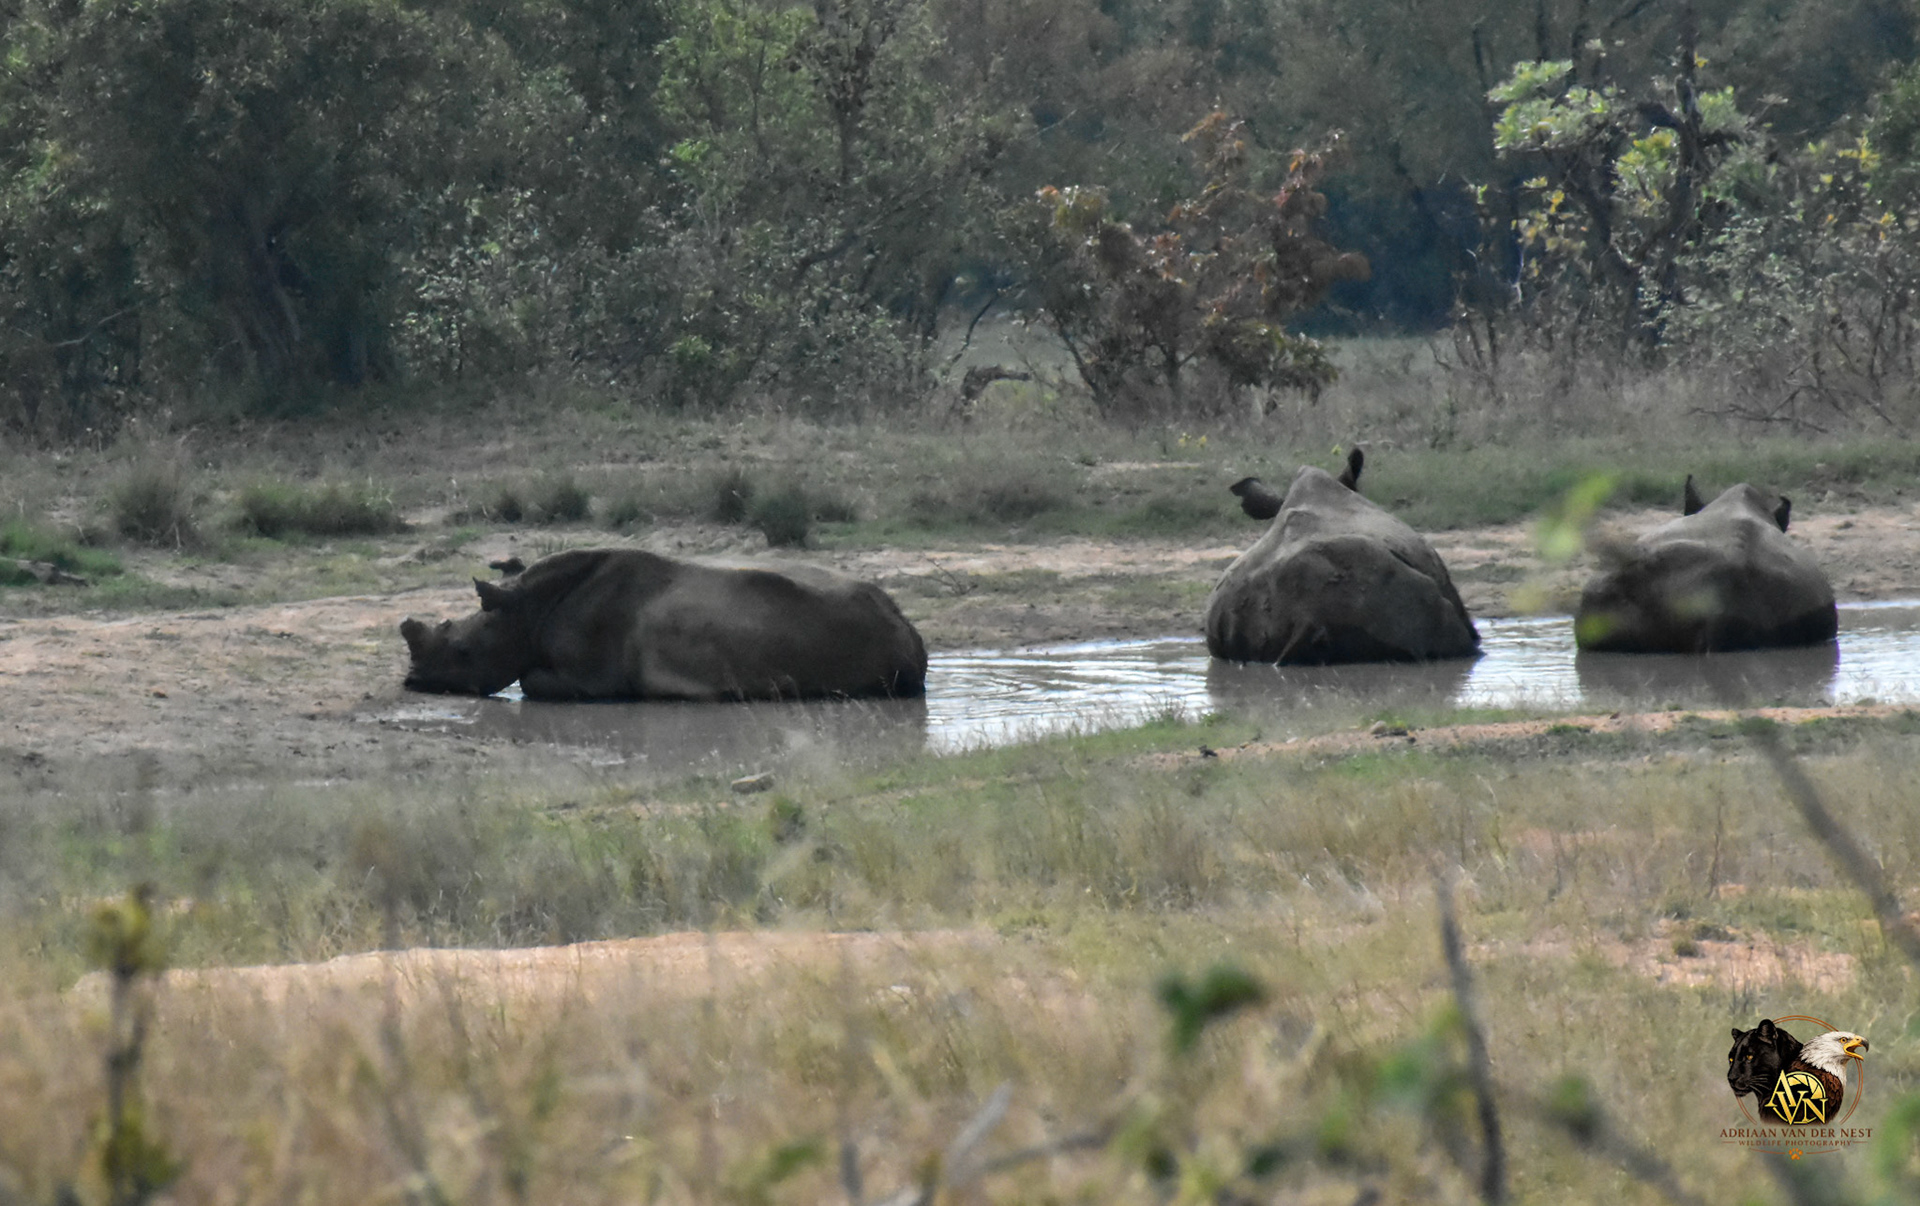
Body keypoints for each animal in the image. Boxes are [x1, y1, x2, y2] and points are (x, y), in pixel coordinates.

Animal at [400, 549, 927, 701]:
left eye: (463, 652)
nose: (412, 681)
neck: (525, 611)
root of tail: (911, 631)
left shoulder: (595, 677)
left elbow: (531, 681)